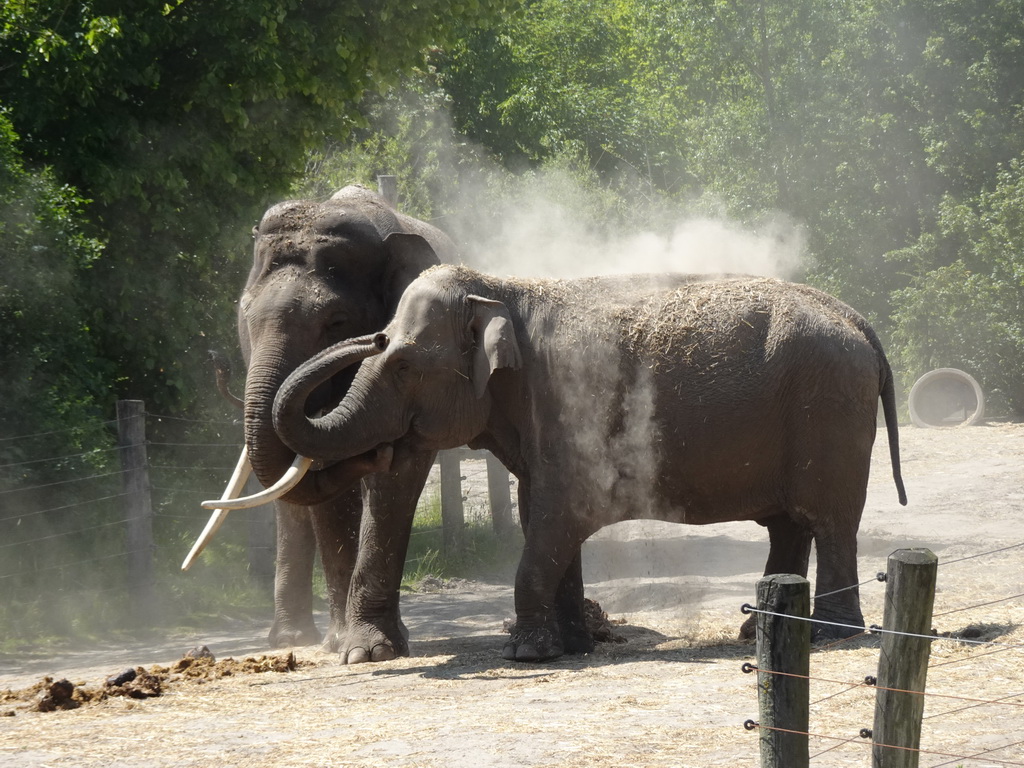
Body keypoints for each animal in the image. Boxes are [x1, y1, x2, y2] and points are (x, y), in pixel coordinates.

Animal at [270, 264, 905, 663]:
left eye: (402, 364)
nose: (367, 337)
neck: (503, 290)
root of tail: (859, 323)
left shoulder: (572, 414)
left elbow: (557, 519)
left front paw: (526, 653)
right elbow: (543, 519)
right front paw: (573, 644)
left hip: (829, 411)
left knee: (829, 521)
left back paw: (830, 635)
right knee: (789, 524)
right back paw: (758, 629)